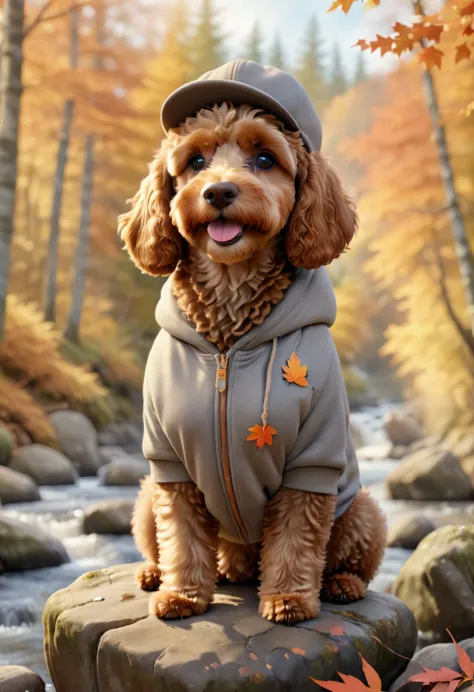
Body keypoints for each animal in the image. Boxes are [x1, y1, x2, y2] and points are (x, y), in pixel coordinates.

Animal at [117, 60, 386, 628]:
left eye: (265, 158)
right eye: (195, 161)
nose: (218, 191)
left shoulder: (313, 459)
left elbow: (296, 538)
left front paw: (288, 599)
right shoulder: (169, 464)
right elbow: (182, 536)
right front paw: (182, 594)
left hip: (362, 509)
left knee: (350, 558)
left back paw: (341, 584)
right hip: (145, 496)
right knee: (164, 542)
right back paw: (160, 574)